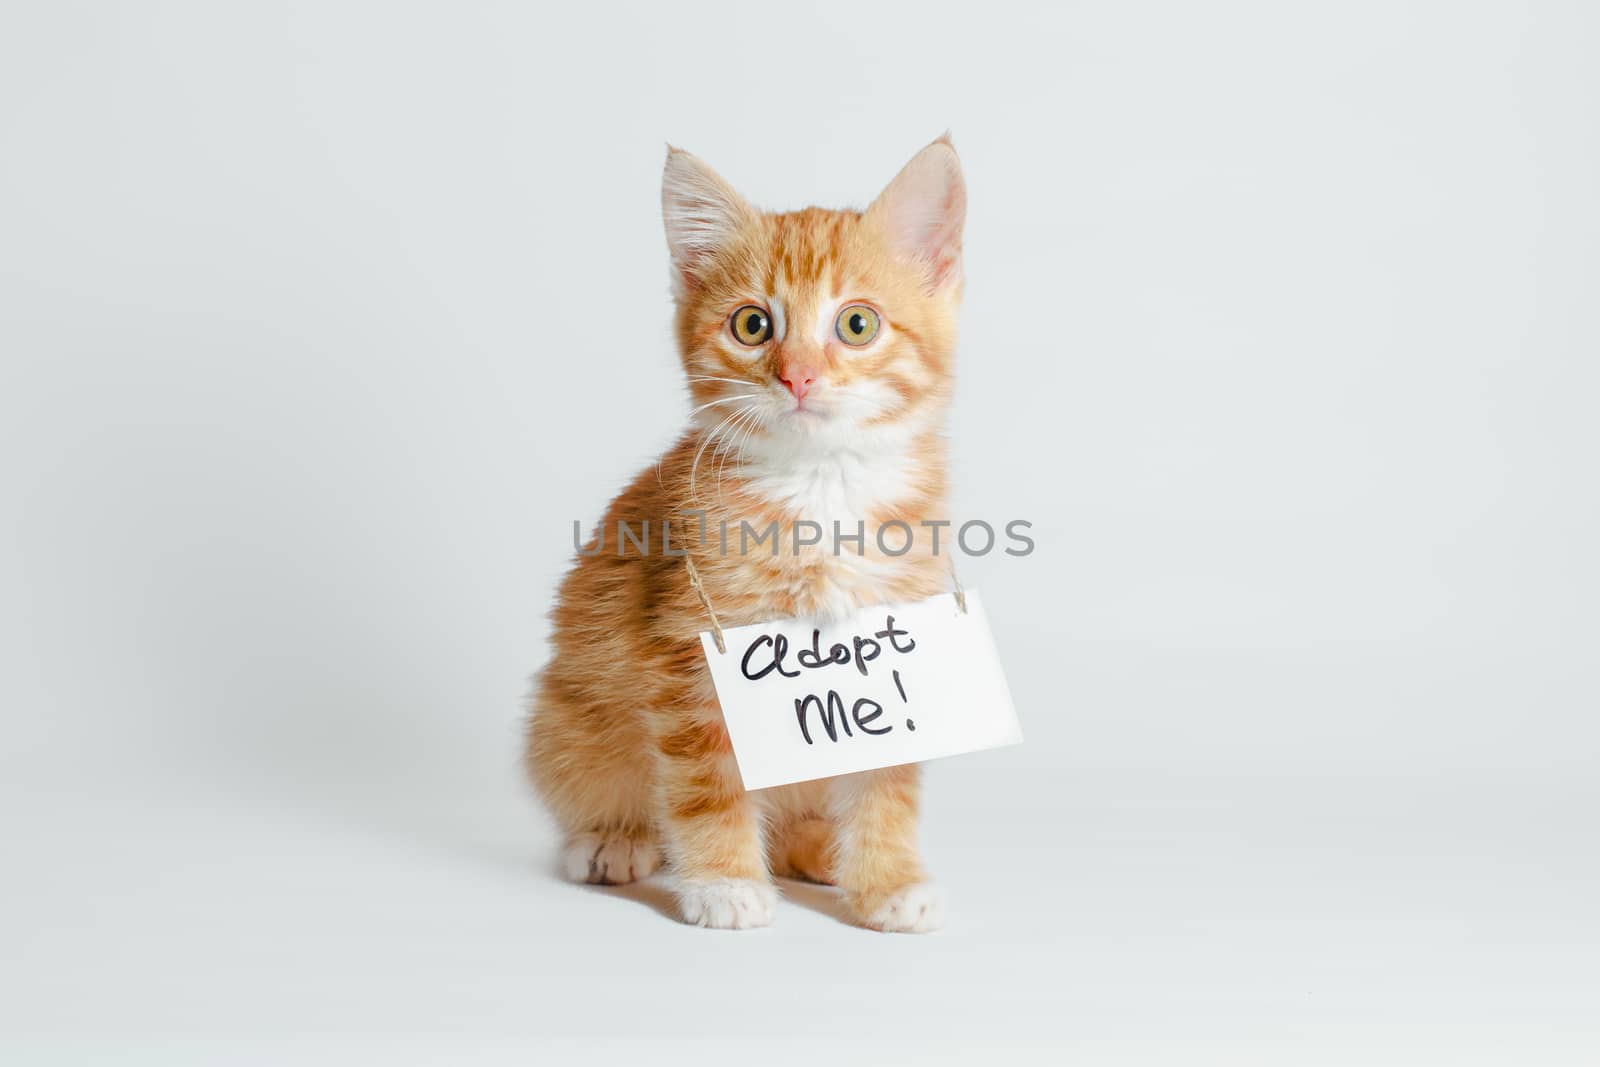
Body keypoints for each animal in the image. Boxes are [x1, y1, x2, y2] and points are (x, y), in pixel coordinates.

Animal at [531, 137, 966, 927]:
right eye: (752, 325)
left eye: (857, 324)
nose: (797, 377)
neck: (820, 489)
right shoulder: (689, 651)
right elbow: (707, 781)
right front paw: (723, 882)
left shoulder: (890, 639)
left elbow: (885, 777)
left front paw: (888, 881)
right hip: (565, 717)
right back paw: (614, 840)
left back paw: (819, 850)